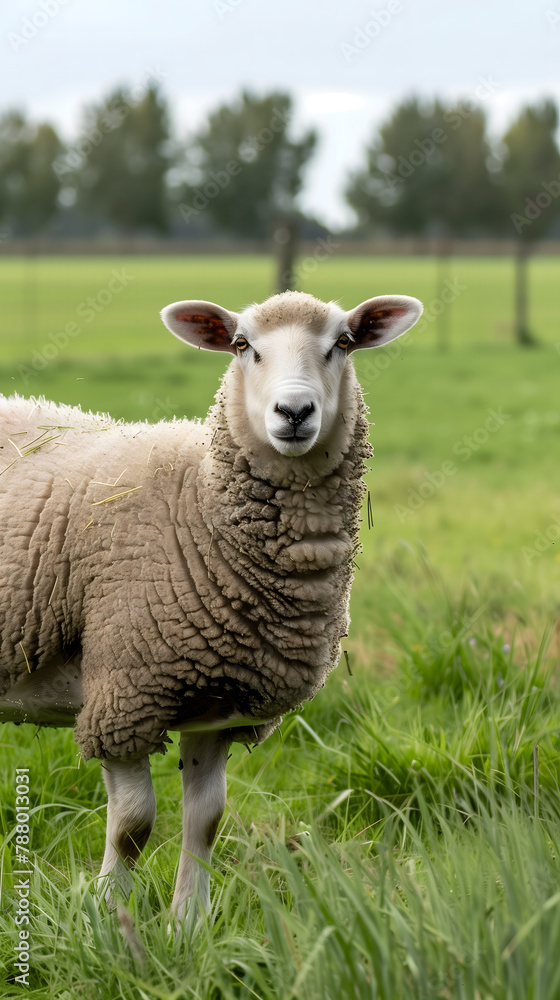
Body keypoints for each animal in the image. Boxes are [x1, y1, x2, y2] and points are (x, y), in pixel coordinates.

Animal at [0, 288, 420, 916]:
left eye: (342, 343)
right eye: (243, 345)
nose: (294, 412)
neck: (198, 499)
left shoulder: (217, 702)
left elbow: (206, 821)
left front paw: (187, 924)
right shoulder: (122, 692)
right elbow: (133, 824)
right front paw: (109, 919)